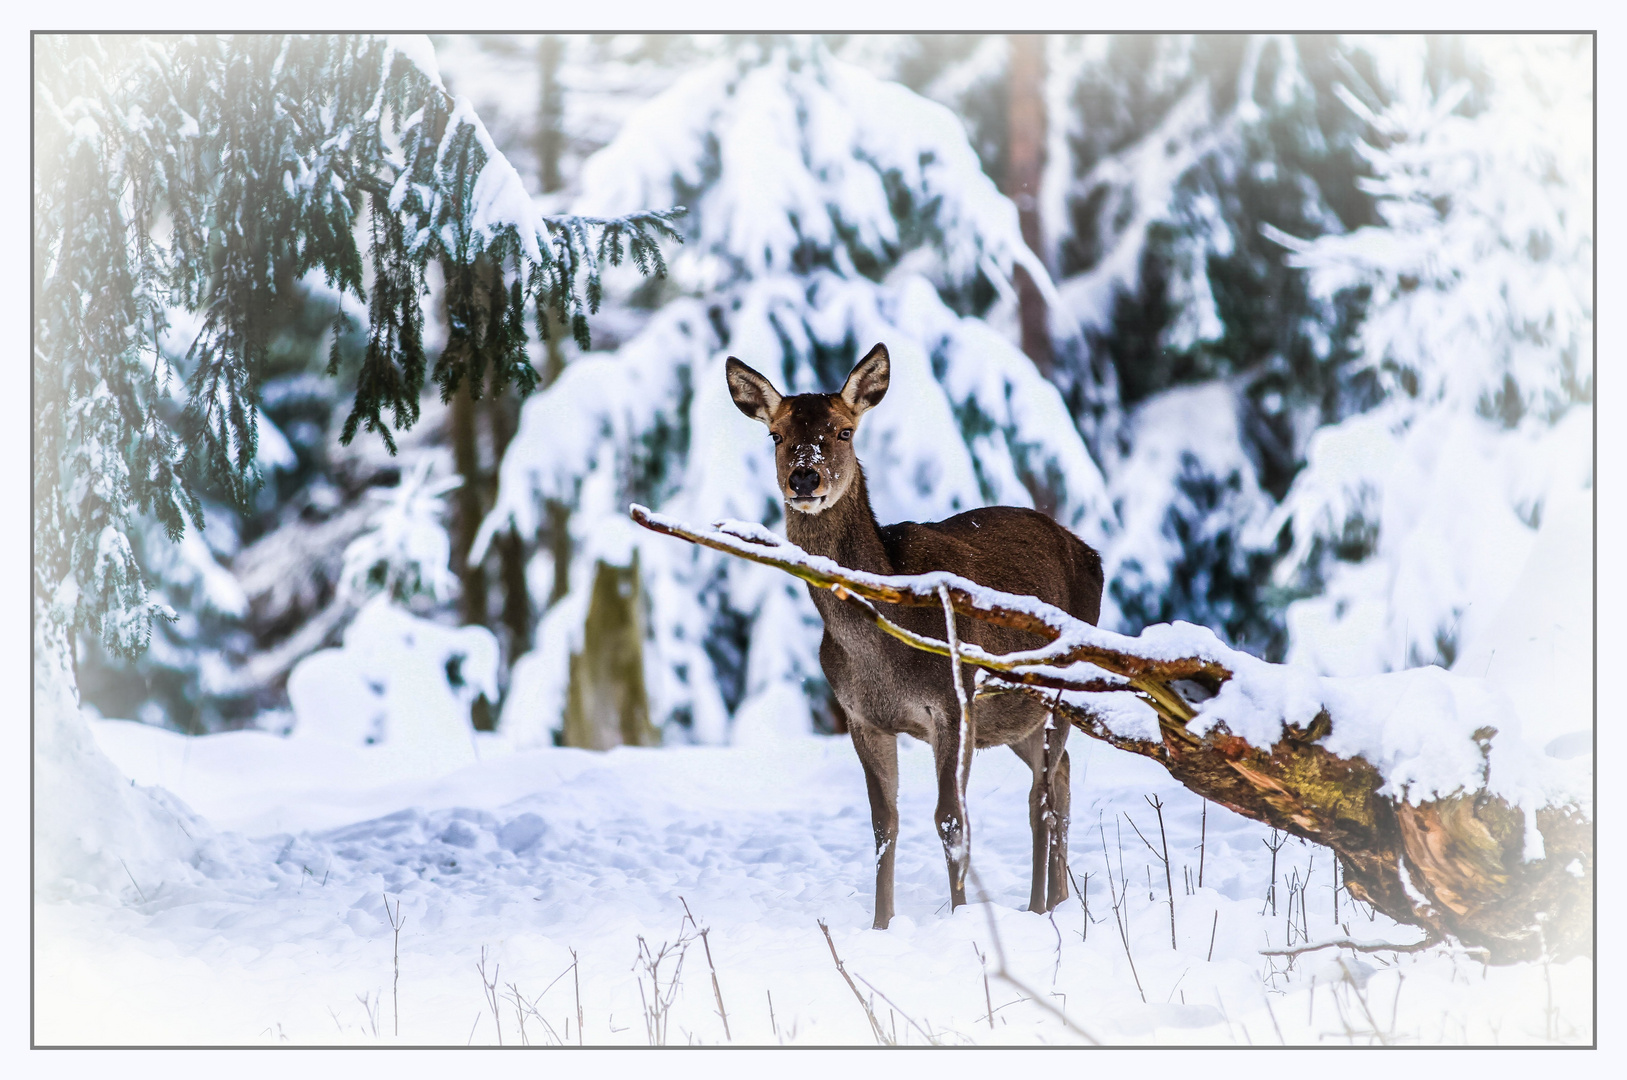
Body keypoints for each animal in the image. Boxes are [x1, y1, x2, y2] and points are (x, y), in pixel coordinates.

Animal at [728, 339, 1099, 930]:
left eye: (843, 432)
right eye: (777, 436)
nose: (804, 479)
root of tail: (1090, 553)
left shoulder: (954, 700)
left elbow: (951, 820)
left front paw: (960, 918)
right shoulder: (861, 716)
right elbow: (884, 824)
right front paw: (882, 925)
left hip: (1062, 685)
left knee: (1041, 797)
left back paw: (1040, 907)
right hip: (1012, 718)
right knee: (1058, 777)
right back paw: (1059, 902)